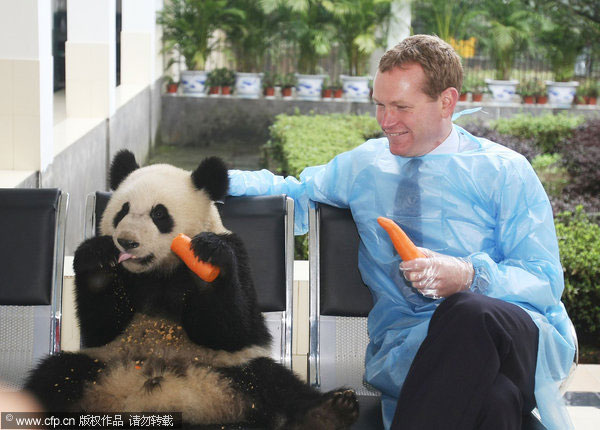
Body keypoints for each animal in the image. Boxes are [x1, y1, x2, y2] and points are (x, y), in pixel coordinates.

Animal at [25, 149, 358, 428]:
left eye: (159, 214)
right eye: (122, 211)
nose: (127, 241)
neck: (159, 270)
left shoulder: (238, 255)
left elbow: (236, 329)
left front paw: (206, 260)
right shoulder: (119, 298)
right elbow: (100, 327)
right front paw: (98, 261)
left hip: (233, 371)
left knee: (275, 382)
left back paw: (329, 411)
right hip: (101, 365)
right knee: (55, 375)